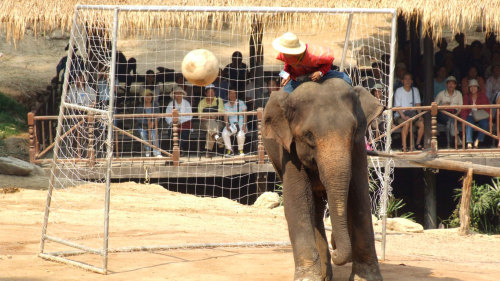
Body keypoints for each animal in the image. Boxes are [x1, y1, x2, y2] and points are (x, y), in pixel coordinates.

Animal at [262, 77, 382, 280]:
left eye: (353, 131)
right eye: (308, 135)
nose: (336, 250)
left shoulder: (358, 147)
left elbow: (359, 196)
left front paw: (365, 278)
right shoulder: (288, 151)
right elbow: (297, 201)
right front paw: (307, 278)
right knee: (313, 208)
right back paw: (323, 275)